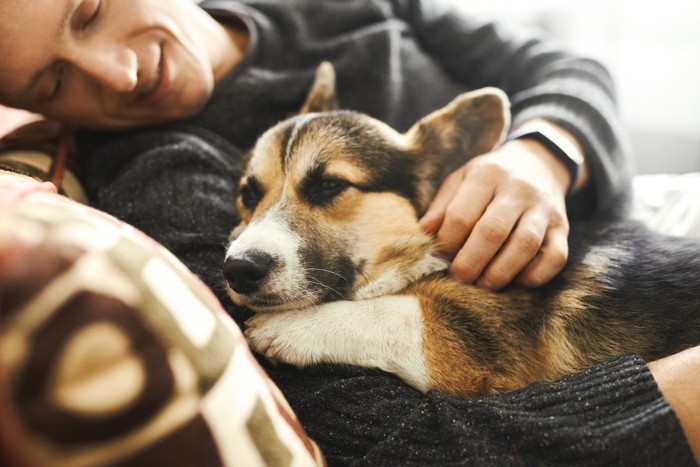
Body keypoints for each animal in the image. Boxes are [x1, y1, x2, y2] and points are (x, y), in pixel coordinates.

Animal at [223, 61, 700, 398]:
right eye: (249, 193)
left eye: (329, 185)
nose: (238, 269)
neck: (424, 254)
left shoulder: (471, 345)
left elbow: (395, 314)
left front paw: (291, 327)